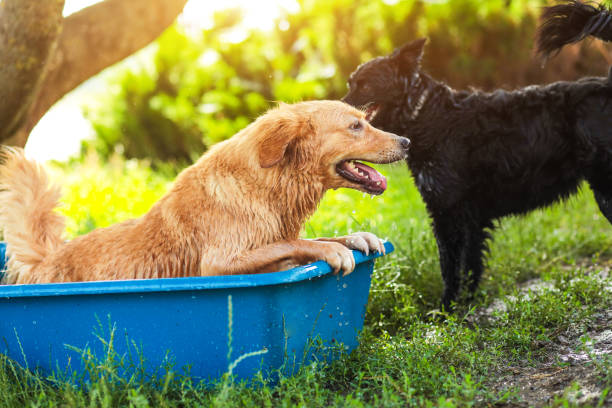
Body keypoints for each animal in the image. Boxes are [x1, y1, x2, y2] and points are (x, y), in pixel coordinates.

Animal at [1, 100, 412, 284]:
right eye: (355, 126)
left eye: (364, 121)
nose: (407, 142)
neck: (265, 185)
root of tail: (46, 259)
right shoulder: (218, 263)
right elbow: (294, 244)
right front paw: (331, 251)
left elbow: (310, 237)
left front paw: (356, 237)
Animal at [342, 1, 612, 310]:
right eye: (351, 83)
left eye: (365, 84)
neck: (429, 116)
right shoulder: (471, 219)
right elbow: (471, 266)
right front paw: (467, 303)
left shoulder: (447, 213)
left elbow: (450, 267)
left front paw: (446, 309)